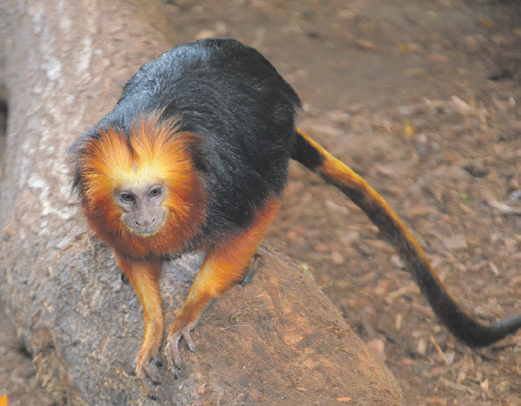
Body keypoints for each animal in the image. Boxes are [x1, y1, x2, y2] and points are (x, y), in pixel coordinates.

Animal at [70, 38, 520, 386]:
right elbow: (134, 258)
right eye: (127, 198)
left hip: (273, 133)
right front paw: (154, 327)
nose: (144, 219)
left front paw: (187, 315)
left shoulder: (231, 191)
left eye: (155, 192)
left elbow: (256, 217)